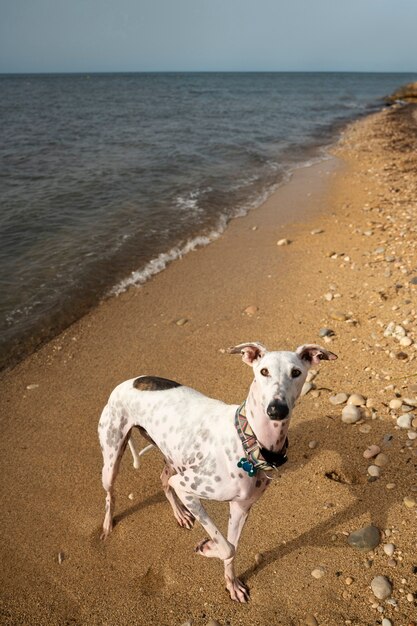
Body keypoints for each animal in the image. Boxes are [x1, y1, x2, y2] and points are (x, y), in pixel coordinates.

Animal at [99, 342, 336, 600]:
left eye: (296, 372)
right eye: (263, 371)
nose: (276, 409)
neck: (248, 441)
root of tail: (127, 382)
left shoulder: (241, 507)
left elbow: (233, 548)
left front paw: (232, 584)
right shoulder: (187, 487)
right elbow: (227, 547)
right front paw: (206, 547)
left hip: (173, 455)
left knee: (163, 479)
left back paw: (180, 514)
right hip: (112, 457)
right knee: (112, 493)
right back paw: (107, 526)